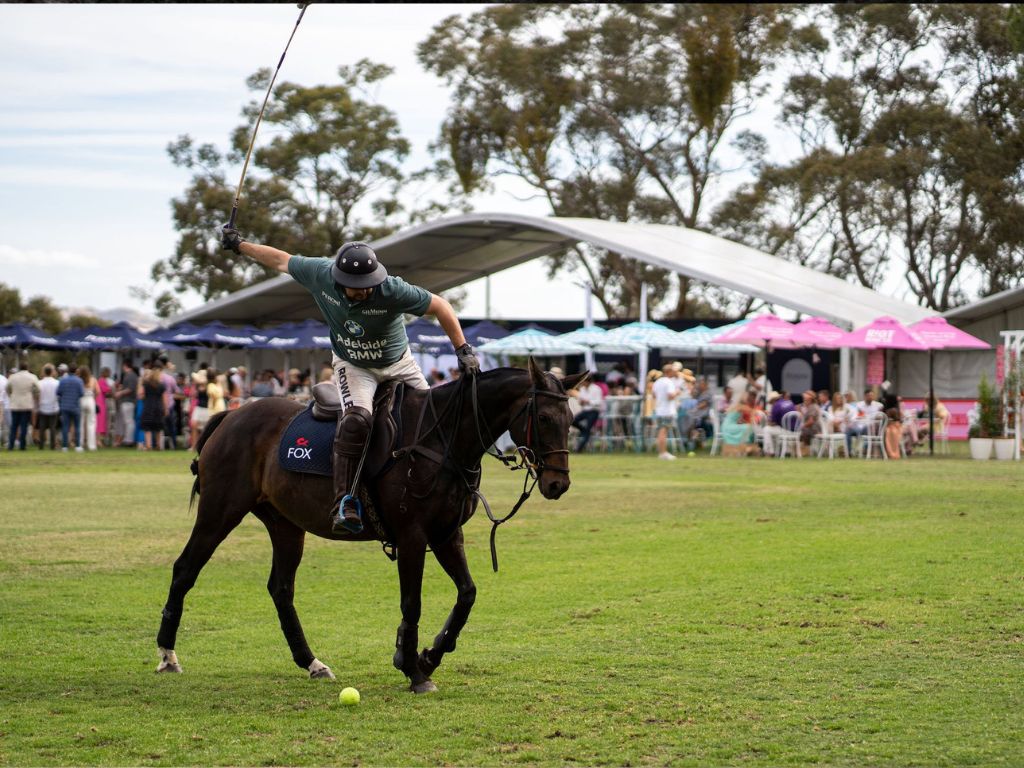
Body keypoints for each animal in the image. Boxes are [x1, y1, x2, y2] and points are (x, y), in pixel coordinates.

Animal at [151, 362, 585, 696]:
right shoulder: (412, 536)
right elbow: (412, 603)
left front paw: (428, 656)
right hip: (220, 510)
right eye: (543, 417)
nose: (558, 484)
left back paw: (312, 663)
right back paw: (167, 656)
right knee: (185, 569)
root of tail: (231, 416)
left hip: (285, 524)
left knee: (281, 588)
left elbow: (467, 594)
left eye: (571, 420)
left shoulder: (447, 534)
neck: (443, 439)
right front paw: (412, 668)